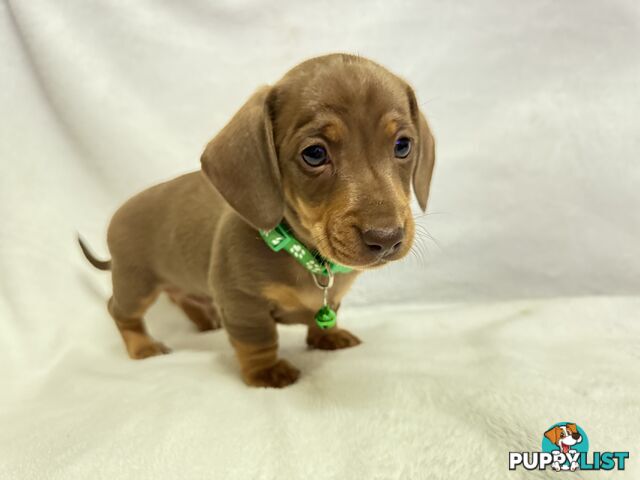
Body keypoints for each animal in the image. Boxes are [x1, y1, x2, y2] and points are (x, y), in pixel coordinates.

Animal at [79, 54, 436, 388]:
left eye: (402, 145)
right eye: (314, 154)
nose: (386, 238)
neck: (303, 253)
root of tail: (120, 211)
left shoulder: (329, 300)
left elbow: (324, 317)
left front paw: (327, 336)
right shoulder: (243, 302)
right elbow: (258, 339)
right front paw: (267, 372)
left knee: (181, 296)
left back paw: (206, 320)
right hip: (135, 282)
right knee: (119, 310)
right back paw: (143, 346)